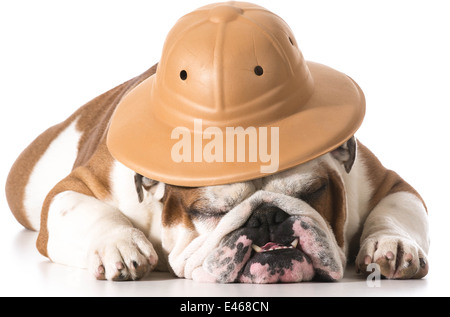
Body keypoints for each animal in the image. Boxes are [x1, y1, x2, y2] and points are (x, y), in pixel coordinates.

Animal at [6, 64, 428, 282]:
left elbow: (396, 211)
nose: (267, 217)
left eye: (312, 192)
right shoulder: (79, 186)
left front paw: (392, 244)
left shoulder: (384, 183)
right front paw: (121, 245)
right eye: (210, 211)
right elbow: (84, 209)